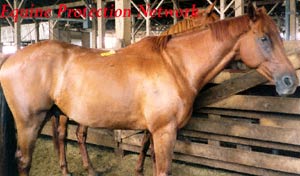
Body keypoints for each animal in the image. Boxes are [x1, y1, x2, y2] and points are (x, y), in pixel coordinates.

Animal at [0, 3, 296, 176]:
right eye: (264, 38)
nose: (290, 80)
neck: (174, 64)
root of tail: (11, 58)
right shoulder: (164, 132)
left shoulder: (155, 132)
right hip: (30, 123)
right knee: (25, 160)